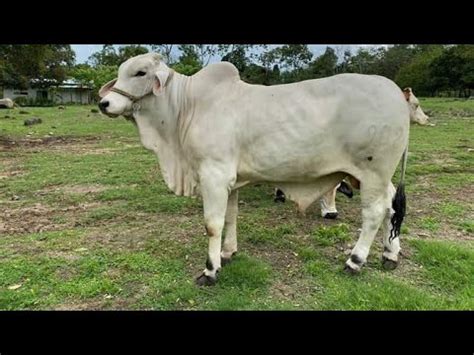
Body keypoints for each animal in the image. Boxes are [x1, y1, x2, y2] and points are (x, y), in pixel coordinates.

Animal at [98, 52, 410, 286]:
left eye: (140, 72)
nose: (104, 103)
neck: (186, 107)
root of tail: (397, 94)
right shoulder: (230, 181)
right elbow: (231, 217)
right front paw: (227, 252)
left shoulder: (213, 176)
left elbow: (212, 224)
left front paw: (210, 269)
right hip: (377, 177)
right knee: (391, 207)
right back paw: (390, 254)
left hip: (373, 172)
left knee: (374, 213)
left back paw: (355, 261)